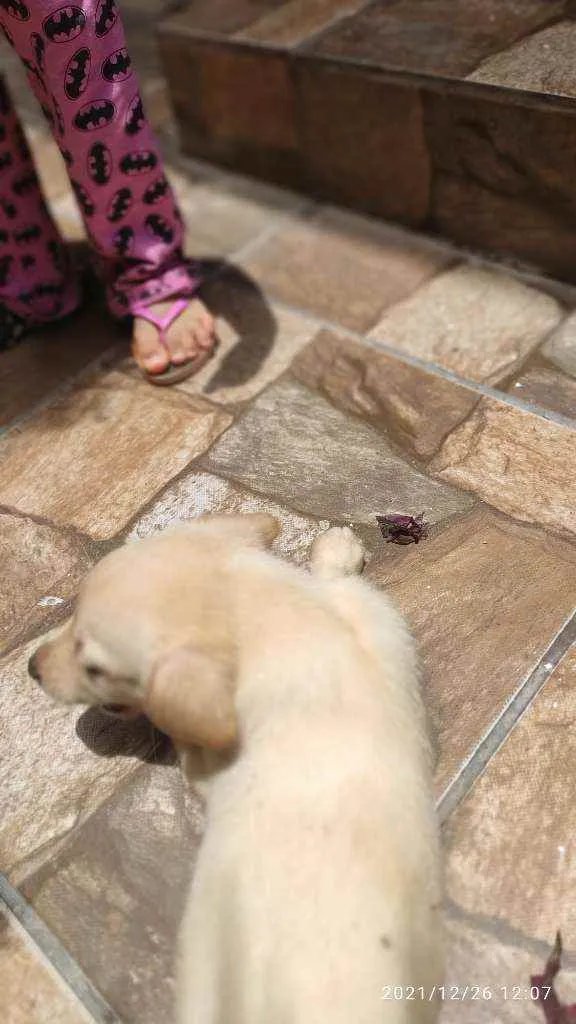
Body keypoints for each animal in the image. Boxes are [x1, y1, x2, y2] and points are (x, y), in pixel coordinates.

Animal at [30, 516, 444, 1019]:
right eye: (71, 612)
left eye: (94, 668)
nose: (31, 668)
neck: (284, 627)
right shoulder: (365, 613)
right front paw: (338, 549)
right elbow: (338, 578)